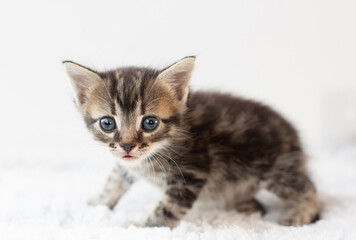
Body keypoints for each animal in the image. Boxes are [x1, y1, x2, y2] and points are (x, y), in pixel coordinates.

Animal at [62, 57, 318, 228]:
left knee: (308, 188)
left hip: (275, 168)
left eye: (150, 123)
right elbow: (114, 180)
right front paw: (99, 203)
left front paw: (143, 228)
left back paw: (301, 213)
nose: (127, 145)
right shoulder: (126, 162)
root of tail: (291, 131)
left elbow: (167, 208)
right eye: (107, 123)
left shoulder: (192, 173)